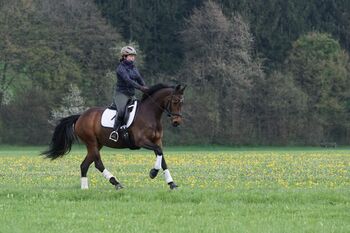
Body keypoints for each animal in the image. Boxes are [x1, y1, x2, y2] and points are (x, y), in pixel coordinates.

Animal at [42, 83, 186, 189]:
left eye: (182, 102)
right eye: (175, 101)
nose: (177, 122)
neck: (150, 115)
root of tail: (80, 116)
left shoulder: (157, 141)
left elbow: (162, 159)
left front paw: (171, 183)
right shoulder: (141, 141)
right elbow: (159, 152)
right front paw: (153, 173)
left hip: (97, 144)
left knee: (85, 164)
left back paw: (85, 188)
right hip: (91, 142)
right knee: (97, 163)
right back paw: (116, 182)